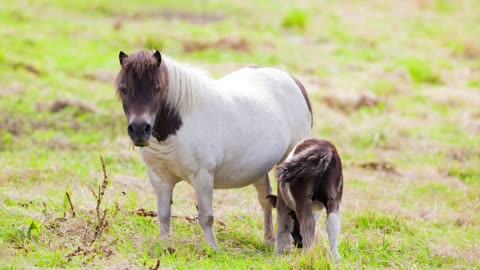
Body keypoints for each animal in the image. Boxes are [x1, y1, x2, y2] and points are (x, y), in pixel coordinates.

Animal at [114, 50, 314, 249]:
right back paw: (269, 240)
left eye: (157, 88)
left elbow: (205, 217)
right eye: (124, 88)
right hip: (260, 169)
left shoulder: (202, 176)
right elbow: (163, 215)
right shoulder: (160, 179)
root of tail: (291, 79)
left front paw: (213, 249)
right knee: (266, 201)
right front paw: (165, 246)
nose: (139, 129)